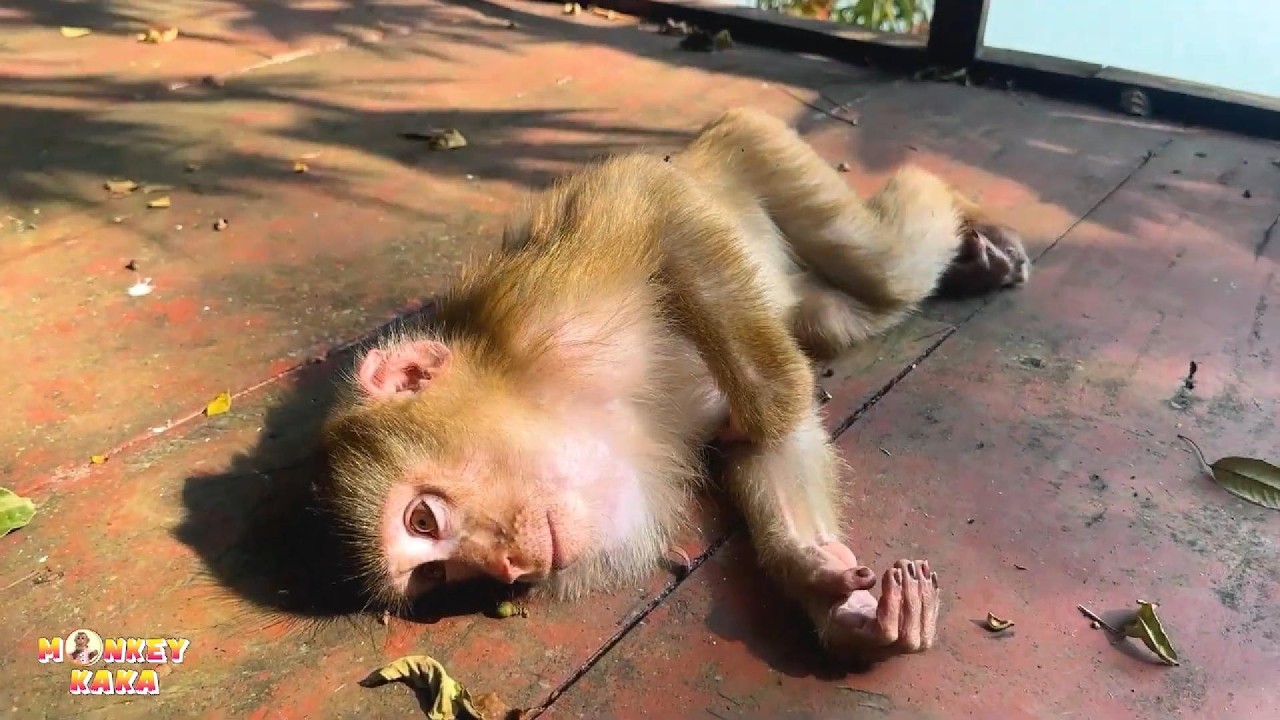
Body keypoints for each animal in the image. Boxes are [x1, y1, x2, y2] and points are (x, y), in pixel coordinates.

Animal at [314, 107, 1029, 662]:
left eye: (423, 519)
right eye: (439, 574)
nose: (507, 566)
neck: (566, 409)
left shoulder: (541, 315)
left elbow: (649, 195)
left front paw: (773, 406)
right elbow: (761, 454)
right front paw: (832, 592)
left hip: (758, 147)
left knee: (885, 267)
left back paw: (964, 213)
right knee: (847, 307)